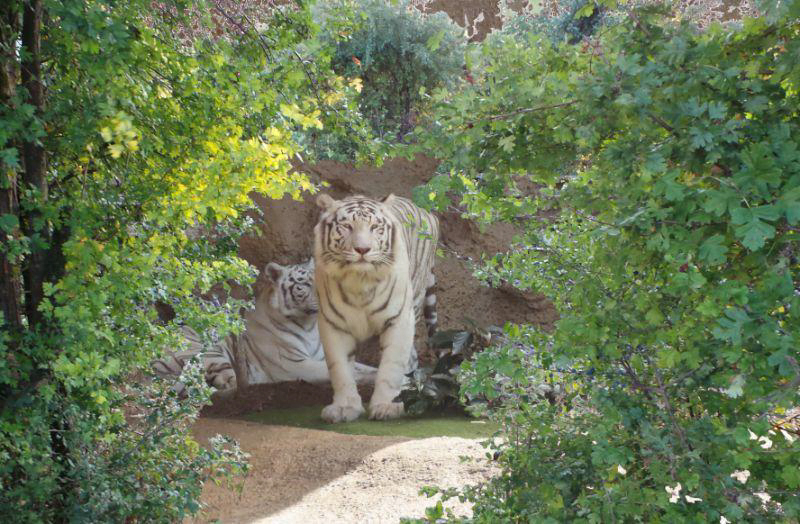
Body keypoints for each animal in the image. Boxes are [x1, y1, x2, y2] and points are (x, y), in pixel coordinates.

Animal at [153, 258, 378, 392]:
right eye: (303, 285)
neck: (310, 326)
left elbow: (361, 366)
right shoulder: (294, 364)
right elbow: (348, 371)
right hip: (210, 353)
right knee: (228, 383)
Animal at [314, 192, 440, 422]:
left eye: (374, 227)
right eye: (347, 226)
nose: (363, 249)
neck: (359, 280)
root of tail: (427, 212)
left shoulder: (400, 319)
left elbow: (392, 365)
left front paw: (387, 405)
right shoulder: (332, 323)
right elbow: (340, 368)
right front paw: (344, 407)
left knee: (410, 358)